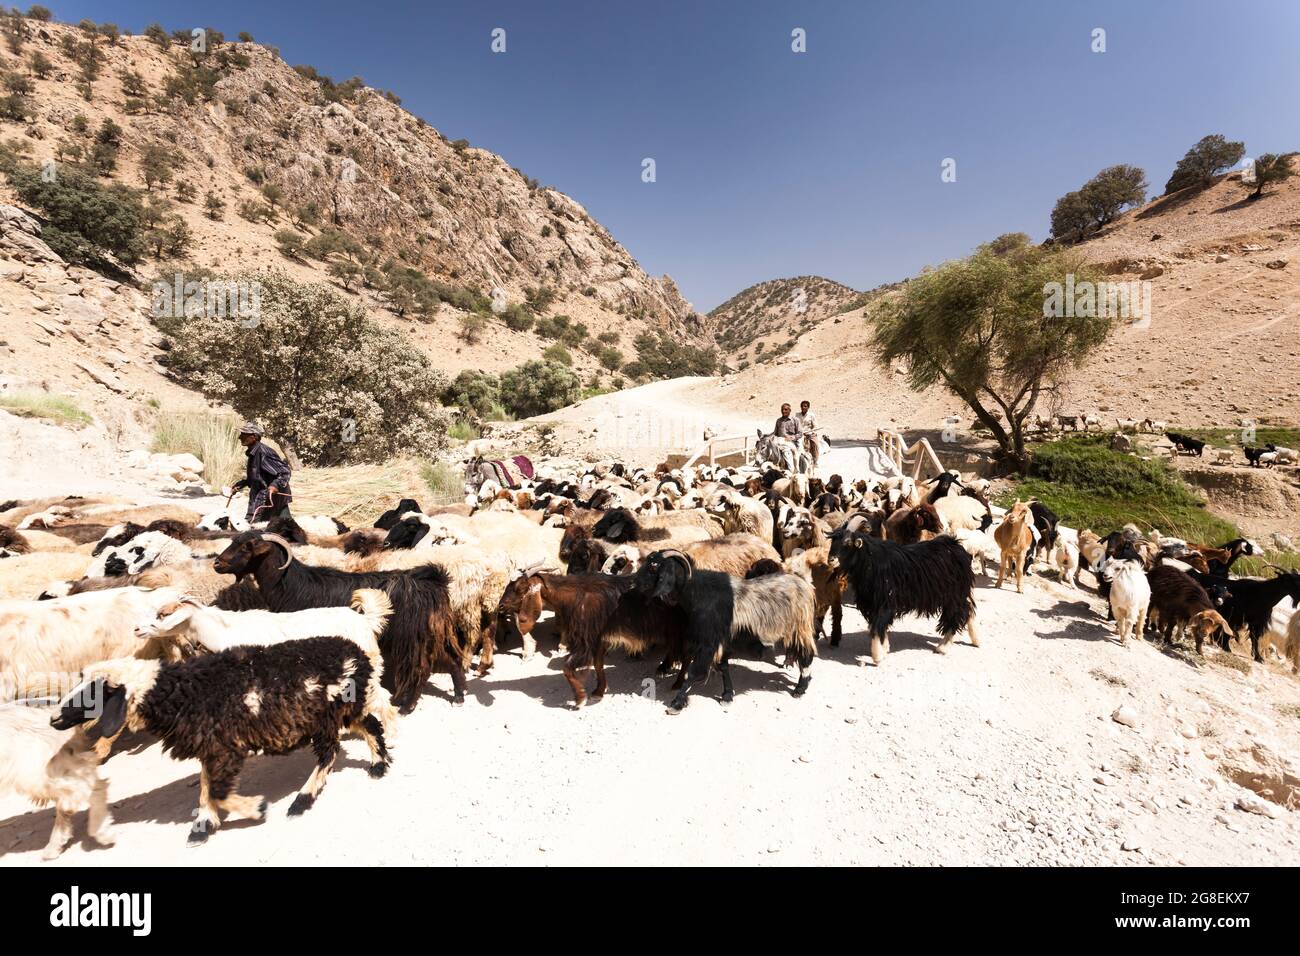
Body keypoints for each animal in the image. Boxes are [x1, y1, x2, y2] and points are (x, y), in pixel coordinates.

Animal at [53, 634, 395, 842]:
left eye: (95, 692)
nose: (54, 718)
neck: (178, 693)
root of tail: (355, 652)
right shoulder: (211, 746)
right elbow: (206, 786)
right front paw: (204, 824)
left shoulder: (226, 747)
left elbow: (217, 790)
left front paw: (256, 808)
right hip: (340, 711)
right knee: (369, 726)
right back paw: (378, 764)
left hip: (326, 716)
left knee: (330, 752)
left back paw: (302, 799)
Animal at [210, 530, 460, 712]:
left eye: (247, 547)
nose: (217, 564)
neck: (290, 583)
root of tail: (433, 581)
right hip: (433, 633)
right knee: (452, 660)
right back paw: (459, 696)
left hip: (411, 638)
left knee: (422, 669)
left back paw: (407, 706)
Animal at [629, 548, 811, 712]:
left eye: (654, 566)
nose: (633, 582)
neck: (698, 591)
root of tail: (803, 583)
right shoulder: (720, 641)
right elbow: (723, 666)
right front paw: (727, 695)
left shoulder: (709, 641)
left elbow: (695, 673)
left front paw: (677, 703)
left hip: (801, 627)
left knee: (806, 655)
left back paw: (800, 688)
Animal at [832, 515, 977, 665]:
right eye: (833, 541)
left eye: (848, 543)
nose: (831, 560)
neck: (871, 561)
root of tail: (955, 544)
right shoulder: (872, 603)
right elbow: (879, 626)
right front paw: (884, 648)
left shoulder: (884, 603)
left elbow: (878, 627)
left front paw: (877, 656)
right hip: (958, 593)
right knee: (969, 609)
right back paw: (975, 640)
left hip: (954, 595)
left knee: (958, 614)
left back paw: (943, 647)